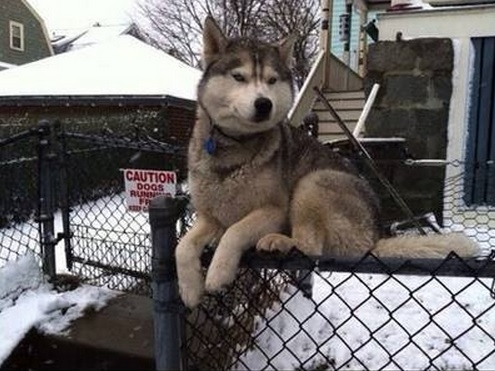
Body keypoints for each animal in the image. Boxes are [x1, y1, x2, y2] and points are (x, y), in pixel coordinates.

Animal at [176, 16, 478, 308]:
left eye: (272, 80)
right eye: (238, 77)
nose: (264, 104)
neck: (232, 145)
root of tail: (374, 237)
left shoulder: (273, 211)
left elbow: (235, 231)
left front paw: (218, 274)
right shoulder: (210, 217)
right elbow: (182, 246)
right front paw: (189, 290)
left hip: (314, 182)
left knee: (310, 247)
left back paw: (280, 241)